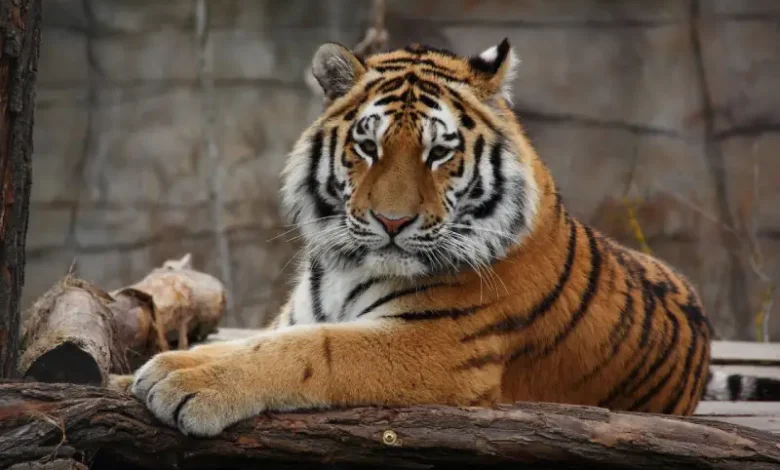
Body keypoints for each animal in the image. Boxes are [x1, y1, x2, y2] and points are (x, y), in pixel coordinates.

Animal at [114, 39, 780, 437]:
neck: (349, 265)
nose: (392, 222)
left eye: (439, 152)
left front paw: (183, 381)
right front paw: (131, 377)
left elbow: (311, 351)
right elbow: (265, 338)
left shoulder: (435, 345)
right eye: (367, 145)